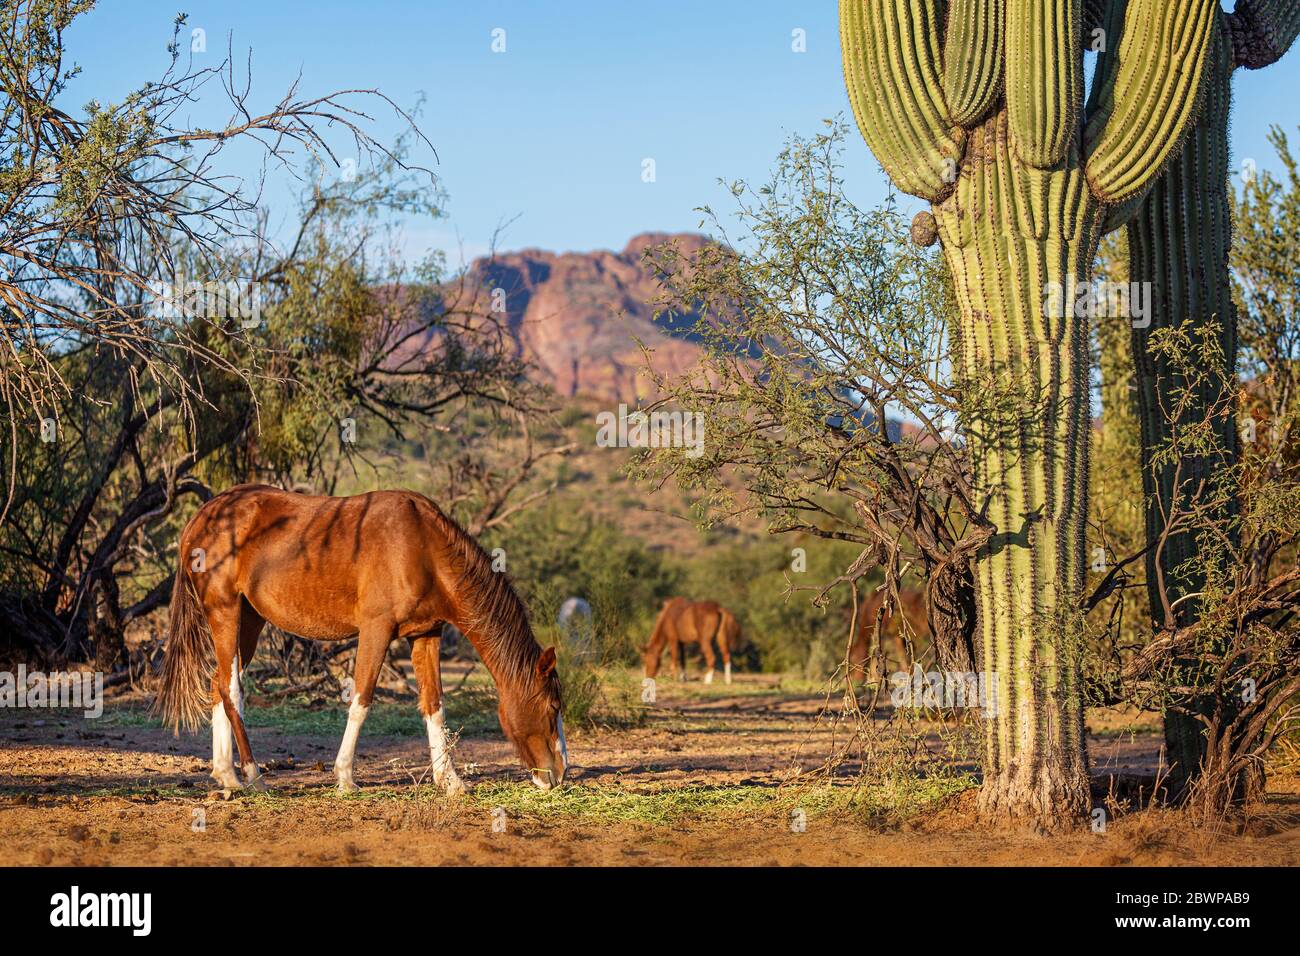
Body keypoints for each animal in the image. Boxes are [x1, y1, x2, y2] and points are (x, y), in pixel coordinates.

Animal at [154, 484, 567, 795]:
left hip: (249, 620)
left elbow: (434, 704)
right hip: (224, 611)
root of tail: (202, 516)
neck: (423, 547)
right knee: (232, 689)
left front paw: (449, 780)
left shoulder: (425, 634)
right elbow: (362, 700)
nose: (559, 774)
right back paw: (253, 775)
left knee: (217, 683)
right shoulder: (376, 630)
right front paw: (345, 777)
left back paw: (227, 775)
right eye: (552, 708)